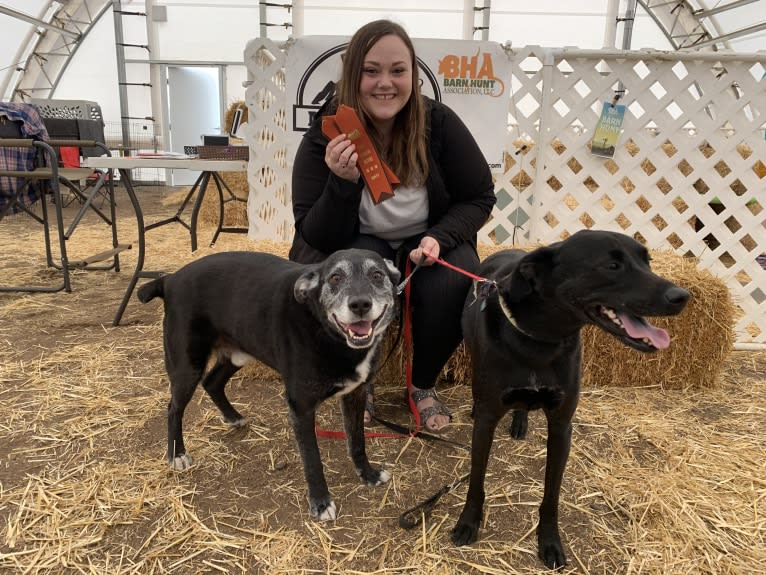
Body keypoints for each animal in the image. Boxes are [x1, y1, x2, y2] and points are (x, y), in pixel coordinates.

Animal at [139, 248, 402, 520]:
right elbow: (313, 460)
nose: (360, 304)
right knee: (174, 408)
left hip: (238, 352)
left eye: (377, 274)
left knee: (212, 382)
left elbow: (357, 441)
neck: (324, 330)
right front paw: (320, 502)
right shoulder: (301, 407)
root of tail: (170, 279)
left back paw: (233, 417)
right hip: (187, 366)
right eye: (335, 278)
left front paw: (368, 474)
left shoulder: (355, 394)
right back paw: (177, 454)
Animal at [452, 232, 692, 568]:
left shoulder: (562, 425)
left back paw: (520, 422)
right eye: (612, 265)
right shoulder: (487, 423)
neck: (540, 340)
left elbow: (552, 494)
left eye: (648, 261)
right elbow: (476, 481)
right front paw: (468, 523)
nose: (682, 296)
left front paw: (550, 541)